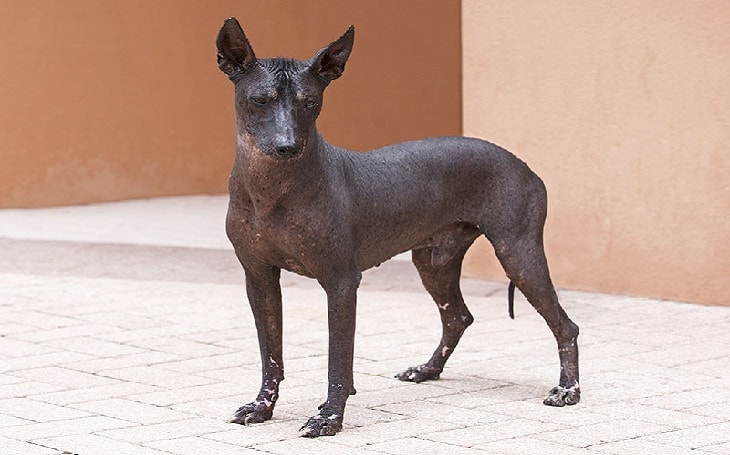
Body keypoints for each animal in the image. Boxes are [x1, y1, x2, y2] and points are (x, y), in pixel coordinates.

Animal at [213, 17, 576, 438]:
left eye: (311, 102)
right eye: (260, 100)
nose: (287, 147)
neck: (271, 190)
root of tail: (526, 166)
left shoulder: (341, 282)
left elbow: (338, 360)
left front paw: (329, 417)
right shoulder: (259, 278)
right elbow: (270, 352)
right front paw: (262, 406)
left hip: (518, 254)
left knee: (565, 326)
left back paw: (568, 390)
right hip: (433, 262)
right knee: (458, 317)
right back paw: (427, 370)